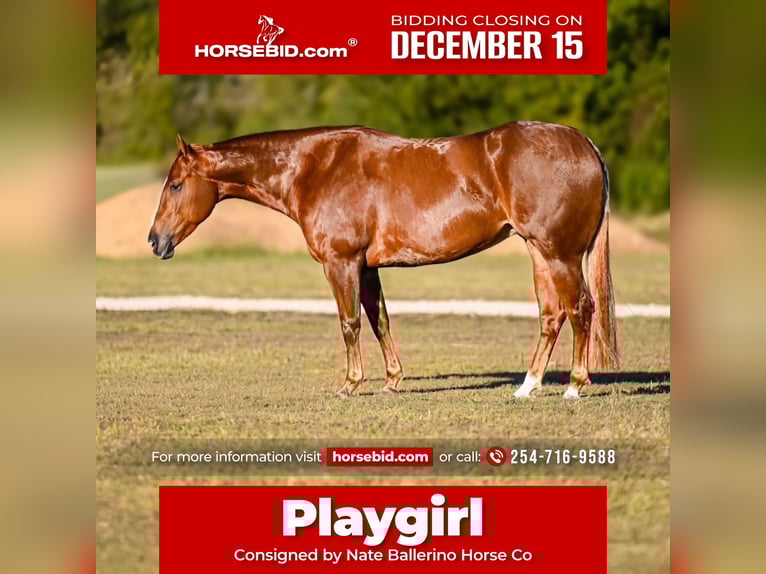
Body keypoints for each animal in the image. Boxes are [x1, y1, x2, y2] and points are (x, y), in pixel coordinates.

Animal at [148, 123, 619, 399]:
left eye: (175, 185)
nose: (155, 241)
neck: (315, 168)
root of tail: (584, 144)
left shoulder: (340, 263)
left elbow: (350, 323)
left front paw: (350, 384)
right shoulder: (367, 266)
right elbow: (380, 321)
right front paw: (393, 380)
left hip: (560, 254)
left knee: (581, 309)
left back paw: (575, 386)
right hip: (540, 252)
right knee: (552, 314)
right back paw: (528, 386)